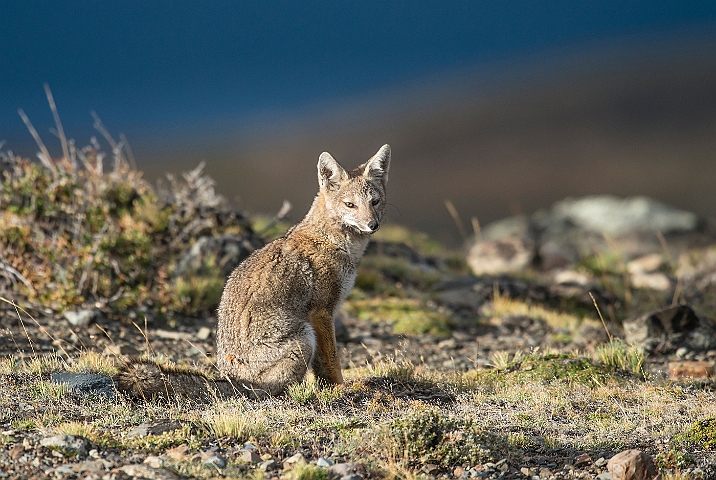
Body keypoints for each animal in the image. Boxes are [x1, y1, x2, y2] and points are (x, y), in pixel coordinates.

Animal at [115, 144, 392, 400]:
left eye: (375, 202)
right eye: (350, 205)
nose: (373, 225)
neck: (334, 242)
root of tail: (230, 379)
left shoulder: (324, 314)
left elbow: (322, 367)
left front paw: (330, 387)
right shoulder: (321, 313)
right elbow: (332, 360)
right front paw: (341, 388)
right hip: (303, 337)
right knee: (269, 391)